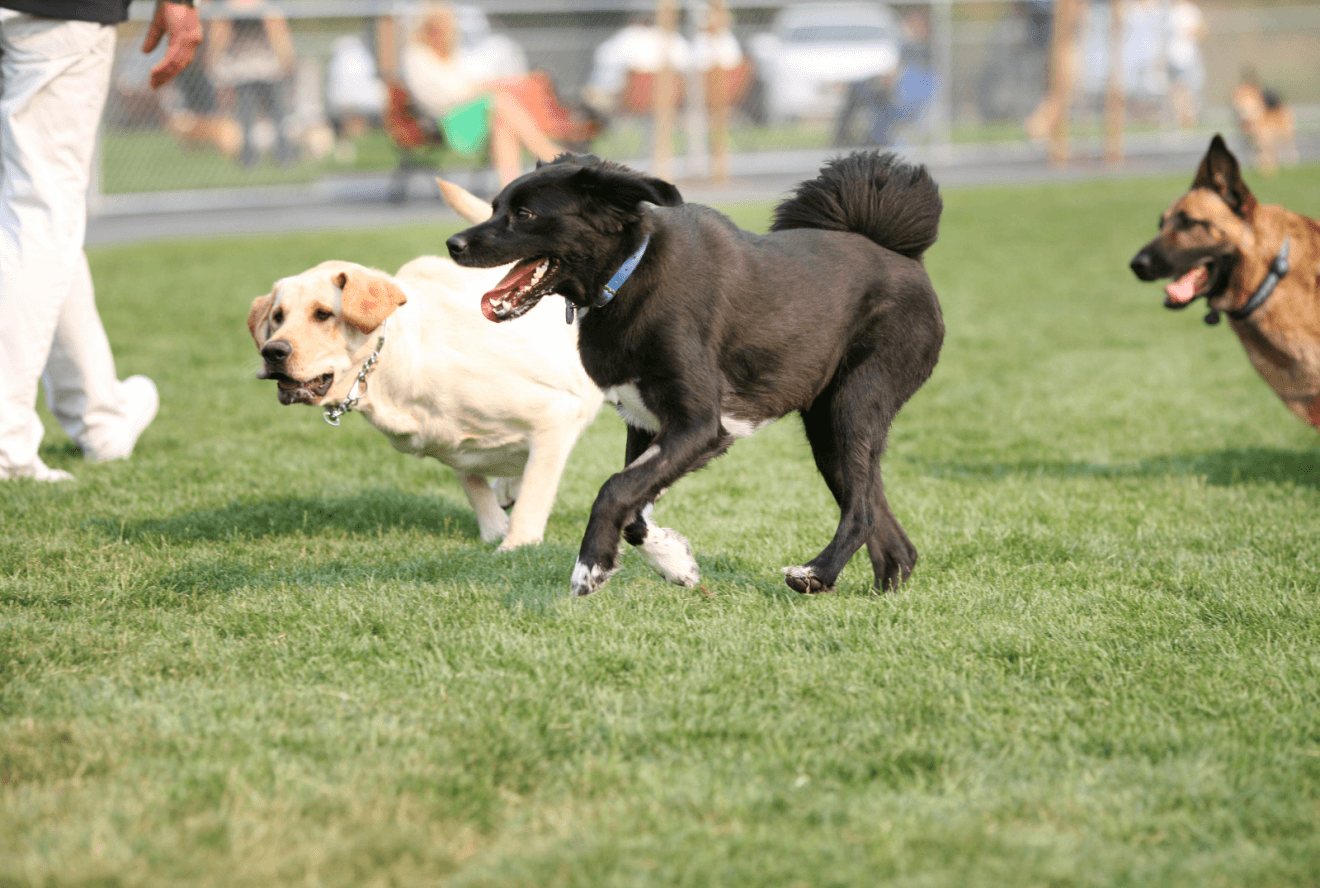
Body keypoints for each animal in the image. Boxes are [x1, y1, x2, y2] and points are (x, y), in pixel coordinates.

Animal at [448, 152, 945, 596]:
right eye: (494, 207)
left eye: (525, 214)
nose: (453, 244)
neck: (629, 274)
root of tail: (904, 256)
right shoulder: (646, 423)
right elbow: (634, 510)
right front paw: (675, 563)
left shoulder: (700, 425)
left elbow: (615, 489)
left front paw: (591, 566)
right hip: (827, 430)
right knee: (891, 536)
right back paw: (872, 589)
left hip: (855, 403)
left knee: (861, 512)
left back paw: (817, 573)